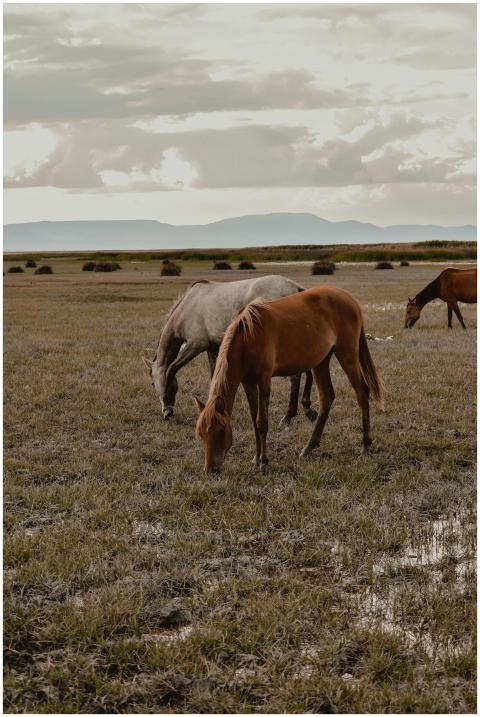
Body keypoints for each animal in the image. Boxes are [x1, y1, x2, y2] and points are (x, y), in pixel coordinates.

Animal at [143, 275, 316, 425]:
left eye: (152, 383)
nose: (165, 412)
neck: (188, 307)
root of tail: (295, 288)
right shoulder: (213, 348)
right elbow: (214, 377)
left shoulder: (195, 345)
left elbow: (171, 369)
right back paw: (307, 409)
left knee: (295, 377)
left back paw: (288, 416)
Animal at [195, 286, 385, 474]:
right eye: (201, 434)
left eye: (220, 432)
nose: (210, 470)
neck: (249, 337)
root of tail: (350, 299)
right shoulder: (248, 382)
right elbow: (254, 419)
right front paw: (256, 457)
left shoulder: (264, 380)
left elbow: (262, 422)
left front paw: (264, 462)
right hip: (321, 362)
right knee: (327, 397)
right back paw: (309, 446)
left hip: (347, 355)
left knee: (362, 393)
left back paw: (365, 444)